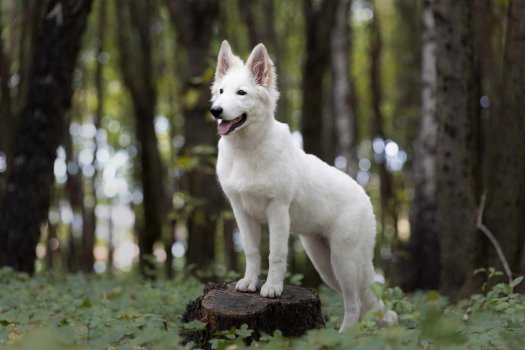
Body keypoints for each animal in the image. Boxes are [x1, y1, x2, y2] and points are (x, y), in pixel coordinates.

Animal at [211, 41, 396, 330]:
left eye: (241, 93)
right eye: (221, 91)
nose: (215, 110)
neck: (248, 150)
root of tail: (366, 198)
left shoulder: (277, 210)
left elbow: (275, 254)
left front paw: (272, 288)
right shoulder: (241, 211)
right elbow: (253, 252)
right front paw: (249, 283)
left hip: (344, 261)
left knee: (354, 305)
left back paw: (342, 335)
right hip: (325, 265)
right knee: (359, 304)